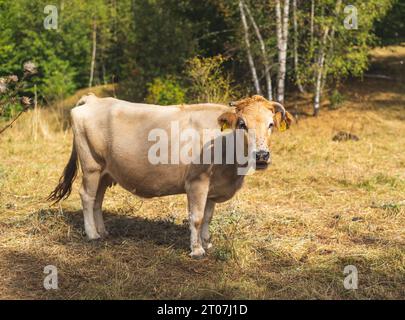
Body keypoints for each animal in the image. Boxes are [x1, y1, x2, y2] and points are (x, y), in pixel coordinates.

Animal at [49, 93, 292, 258]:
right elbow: (196, 217)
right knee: (87, 197)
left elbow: (208, 216)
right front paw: (197, 250)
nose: (261, 155)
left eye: (271, 124)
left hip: (106, 172)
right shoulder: (197, 182)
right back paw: (92, 234)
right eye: (242, 124)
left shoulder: (213, 187)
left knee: (98, 200)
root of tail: (93, 99)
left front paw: (207, 242)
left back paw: (103, 231)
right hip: (91, 166)